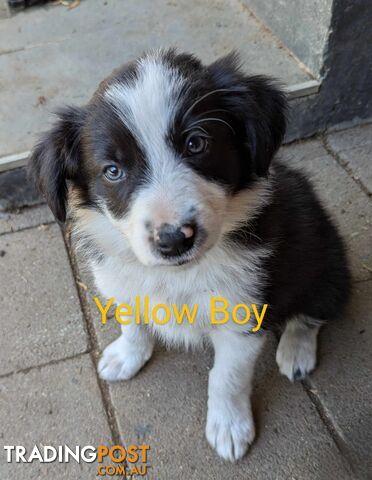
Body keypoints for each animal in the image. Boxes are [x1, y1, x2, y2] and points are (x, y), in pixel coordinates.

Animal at [29, 50, 348, 464]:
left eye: (197, 144)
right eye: (112, 170)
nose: (172, 240)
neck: (176, 275)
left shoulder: (241, 315)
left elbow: (226, 376)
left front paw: (229, 427)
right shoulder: (123, 283)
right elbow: (133, 322)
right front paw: (127, 355)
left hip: (326, 264)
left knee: (314, 312)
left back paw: (296, 352)